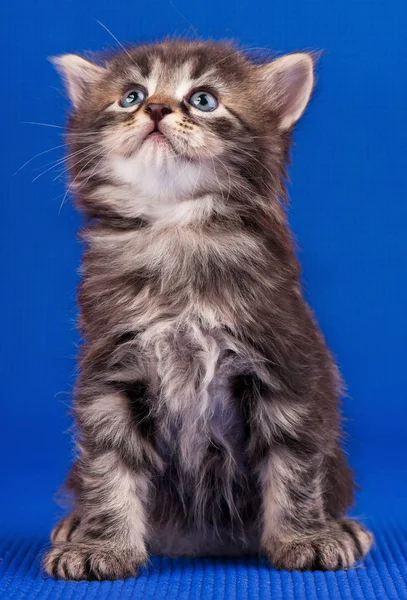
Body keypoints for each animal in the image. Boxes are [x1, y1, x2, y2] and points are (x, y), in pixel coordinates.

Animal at [43, 38, 372, 580]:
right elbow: (109, 466)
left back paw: (341, 526)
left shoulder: (285, 366)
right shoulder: (109, 371)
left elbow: (295, 464)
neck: (177, 228)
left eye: (203, 100)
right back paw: (75, 523)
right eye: (131, 96)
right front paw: (101, 544)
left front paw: (306, 537)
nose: (156, 109)